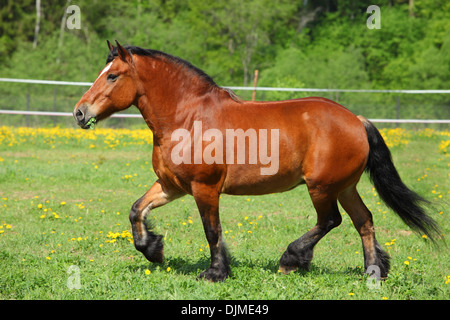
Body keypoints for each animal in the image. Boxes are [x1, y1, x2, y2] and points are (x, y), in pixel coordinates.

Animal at [74, 40, 440, 282]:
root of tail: (356, 120)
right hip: (345, 187)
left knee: (330, 220)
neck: (188, 117)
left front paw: (215, 272)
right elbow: (137, 210)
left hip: (322, 187)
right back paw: (373, 272)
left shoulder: (205, 189)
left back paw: (292, 259)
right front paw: (153, 249)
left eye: (112, 76)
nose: (79, 112)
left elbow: (212, 230)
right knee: (363, 221)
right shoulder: (171, 186)